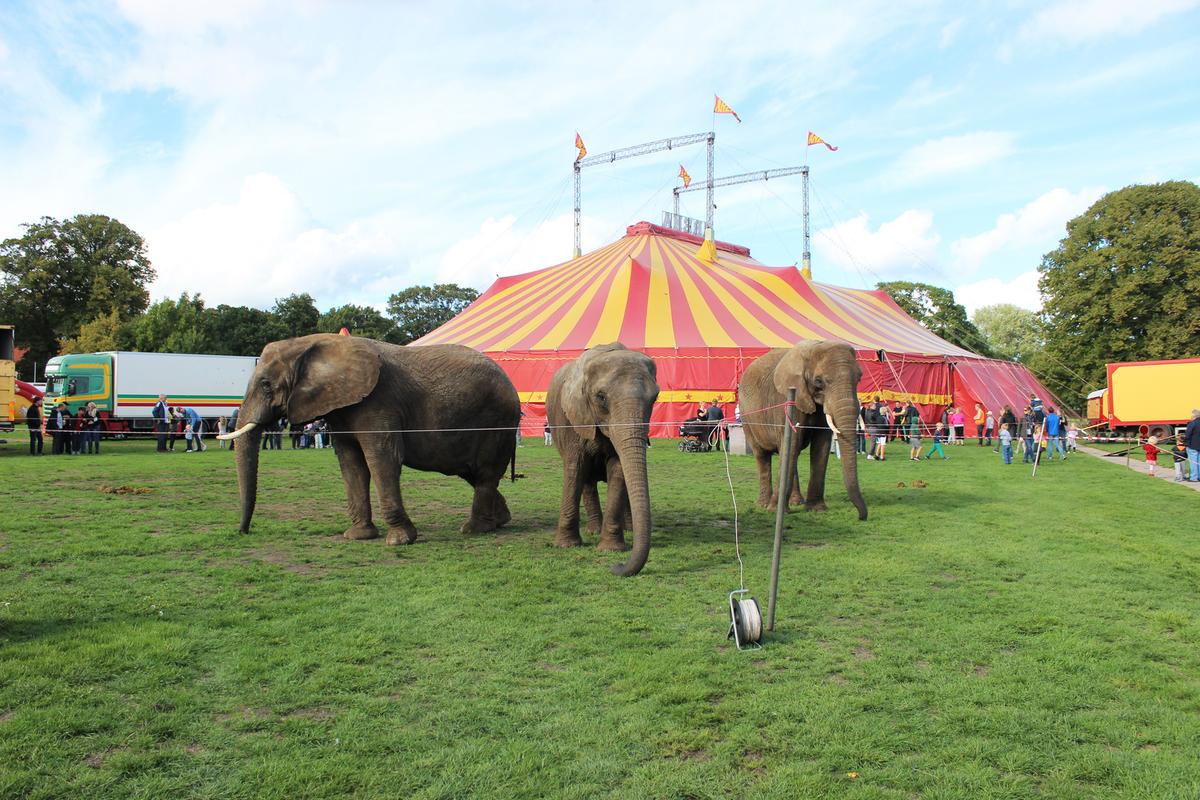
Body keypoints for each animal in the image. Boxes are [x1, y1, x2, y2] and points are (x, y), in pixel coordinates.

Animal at [223, 335, 518, 546]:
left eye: (266, 385)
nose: (243, 532)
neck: (309, 343)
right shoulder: (340, 410)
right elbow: (352, 465)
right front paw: (358, 536)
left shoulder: (378, 403)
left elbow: (382, 460)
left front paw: (399, 541)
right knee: (473, 473)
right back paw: (499, 521)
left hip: (497, 421)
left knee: (484, 473)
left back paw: (474, 529)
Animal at [549, 343, 662, 575]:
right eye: (601, 397)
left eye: (655, 398)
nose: (616, 567)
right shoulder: (571, 418)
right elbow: (575, 468)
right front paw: (566, 545)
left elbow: (619, 470)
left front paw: (611, 550)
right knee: (586, 481)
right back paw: (593, 531)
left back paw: (628, 530)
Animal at [734, 340, 868, 520]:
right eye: (818, 381)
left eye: (859, 378)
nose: (861, 517)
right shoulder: (786, 399)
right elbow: (791, 442)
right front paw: (774, 511)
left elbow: (821, 445)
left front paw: (817, 509)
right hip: (747, 416)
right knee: (762, 454)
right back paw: (763, 504)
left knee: (792, 454)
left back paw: (796, 502)